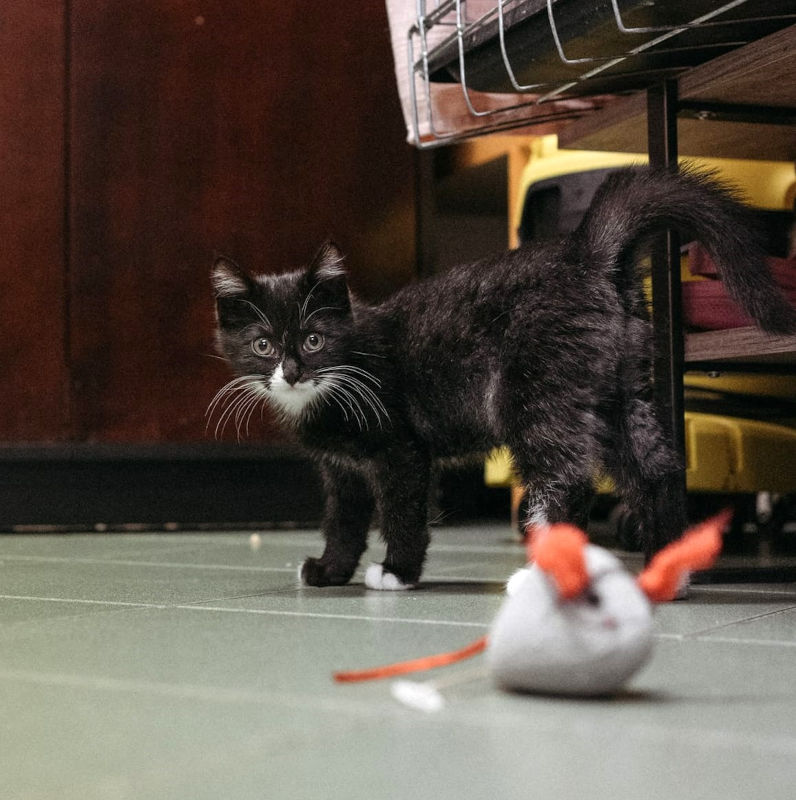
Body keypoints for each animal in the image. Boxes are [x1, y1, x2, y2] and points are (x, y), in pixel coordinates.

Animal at [211, 166, 796, 590]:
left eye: (313, 340)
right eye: (262, 345)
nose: (292, 372)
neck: (340, 373)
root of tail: (586, 257)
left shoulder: (400, 448)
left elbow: (402, 510)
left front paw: (397, 573)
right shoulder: (341, 468)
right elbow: (344, 519)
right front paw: (330, 570)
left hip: (538, 388)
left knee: (567, 477)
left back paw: (543, 576)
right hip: (615, 388)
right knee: (656, 467)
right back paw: (666, 569)